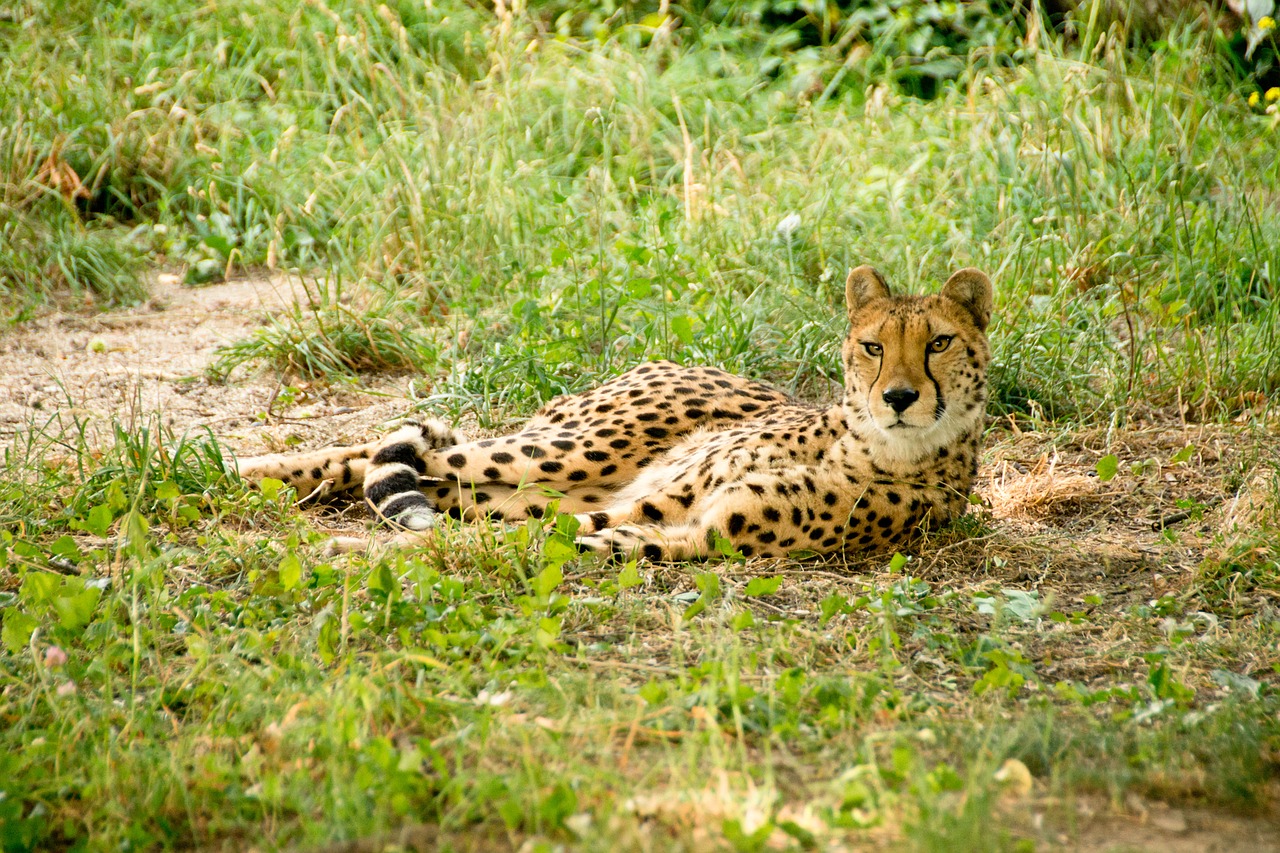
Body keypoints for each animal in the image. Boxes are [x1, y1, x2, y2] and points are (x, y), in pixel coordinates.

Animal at [238, 266, 998, 558]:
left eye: (938, 343)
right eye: (874, 346)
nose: (899, 398)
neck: (871, 445)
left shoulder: (685, 525)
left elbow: (529, 541)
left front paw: (359, 551)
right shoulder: (669, 498)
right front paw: (349, 550)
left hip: (539, 482)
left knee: (412, 472)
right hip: (575, 447)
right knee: (386, 450)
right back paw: (233, 466)